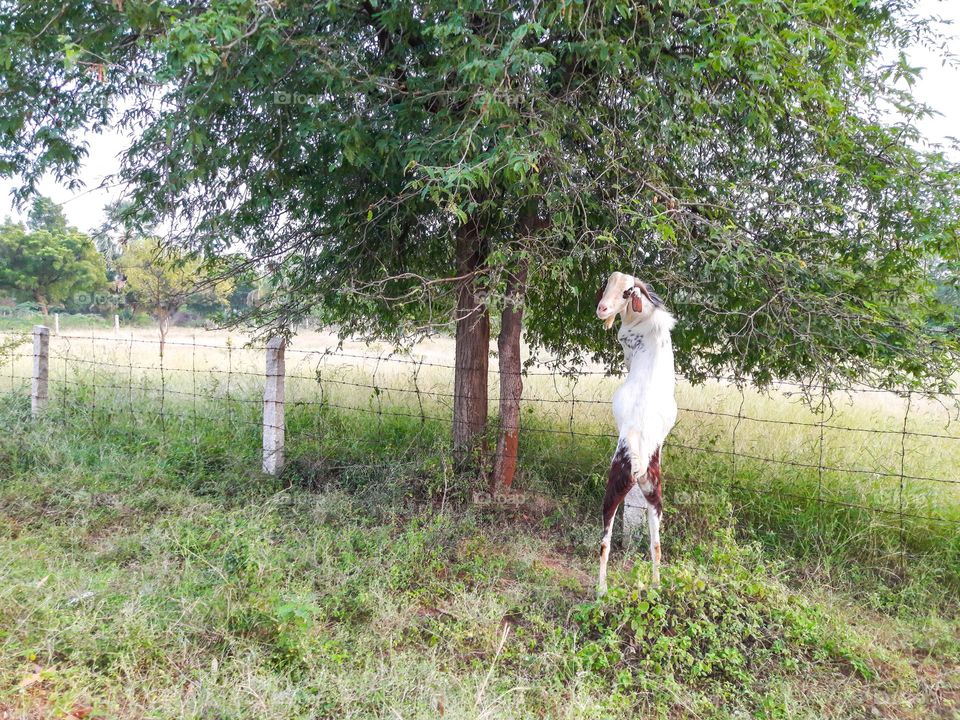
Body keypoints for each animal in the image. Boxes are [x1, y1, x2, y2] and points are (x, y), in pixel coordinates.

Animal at [595, 271, 677, 594]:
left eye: (627, 292)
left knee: (604, 541)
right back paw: (656, 583)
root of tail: (640, 458)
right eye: (608, 283)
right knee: (656, 543)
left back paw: (601, 589)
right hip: (654, 492)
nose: (602, 309)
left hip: (613, 486)